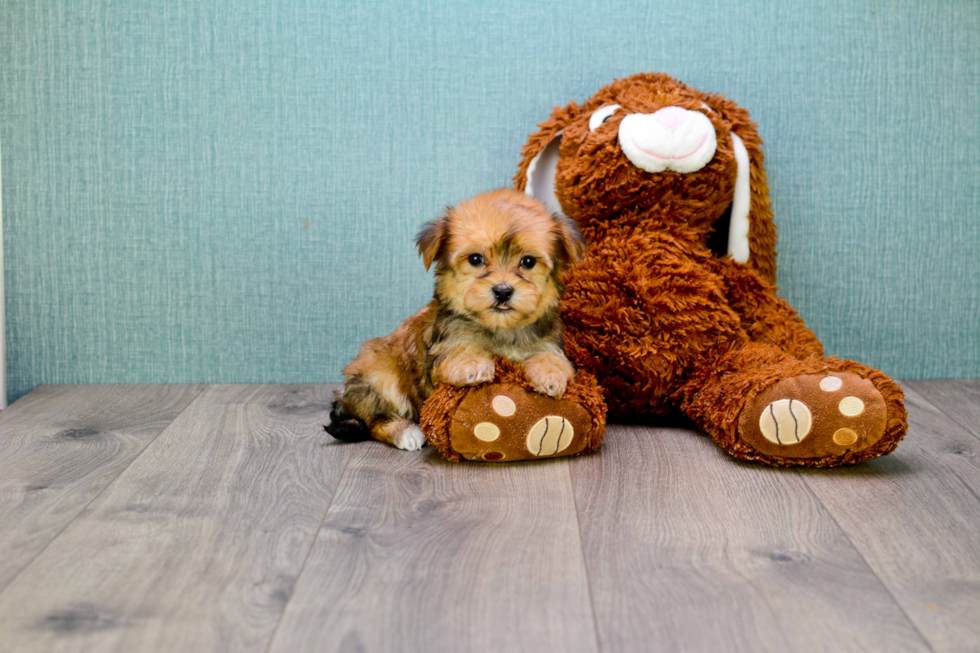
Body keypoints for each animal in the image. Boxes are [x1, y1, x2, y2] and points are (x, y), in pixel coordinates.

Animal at [326, 187, 584, 448]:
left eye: (528, 262)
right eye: (475, 259)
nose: (502, 291)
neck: (500, 329)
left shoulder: (547, 342)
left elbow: (552, 357)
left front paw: (550, 374)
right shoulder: (443, 348)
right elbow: (460, 349)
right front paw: (473, 365)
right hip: (381, 378)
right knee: (374, 421)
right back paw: (405, 432)